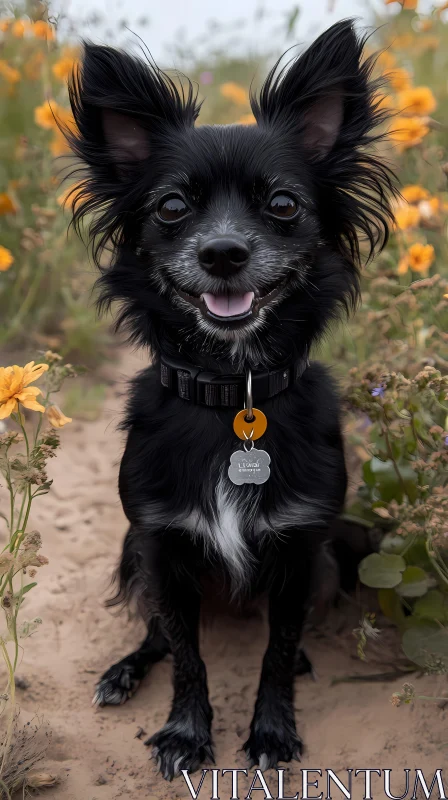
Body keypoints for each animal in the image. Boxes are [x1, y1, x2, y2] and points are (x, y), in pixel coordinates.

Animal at [64, 20, 396, 780]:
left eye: (283, 204)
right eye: (171, 207)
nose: (221, 253)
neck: (232, 392)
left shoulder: (303, 552)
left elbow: (276, 649)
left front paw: (272, 727)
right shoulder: (160, 548)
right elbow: (187, 656)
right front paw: (185, 733)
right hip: (130, 552)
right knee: (157, 637)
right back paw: (124, 671)